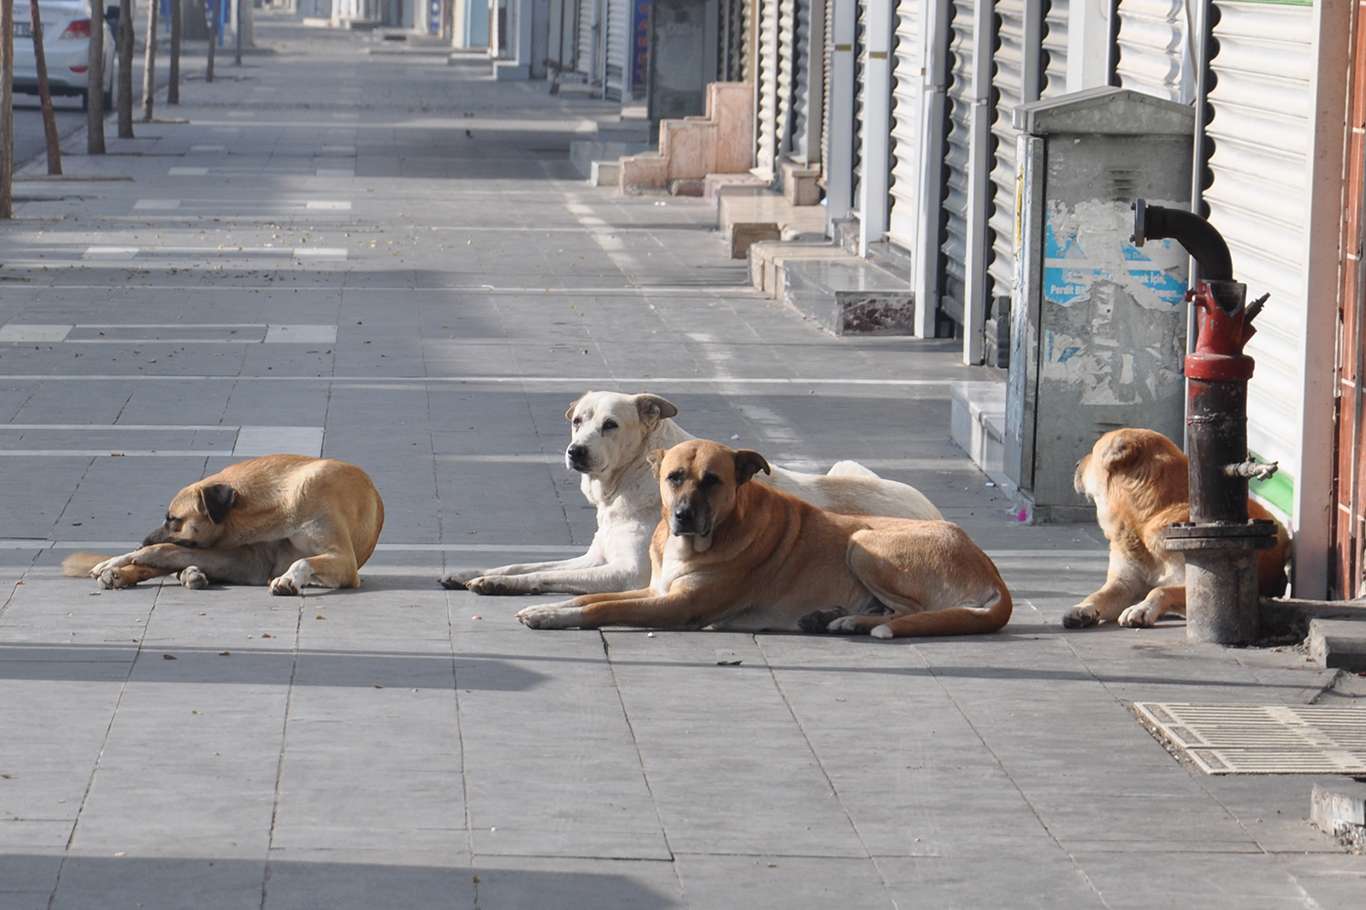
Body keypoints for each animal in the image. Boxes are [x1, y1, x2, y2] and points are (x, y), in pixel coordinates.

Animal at [62, 453, 385, 595]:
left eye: (173, 519)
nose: (143, 539)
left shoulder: (344, 562)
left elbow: (303, 560)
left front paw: (288, 579)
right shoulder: (249, 560)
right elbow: (161, 551)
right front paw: (117, 560)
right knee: (168, 560)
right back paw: (122, 573)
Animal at [442, 390, 945, 595]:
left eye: (611, 425)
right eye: (577, 421)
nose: (575, 451)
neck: (628, 483)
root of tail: (939, 515)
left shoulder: (627, 574)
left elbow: (542, 576)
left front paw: (497, 585)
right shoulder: (595, 556)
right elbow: (525, 563)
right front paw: (473, 572)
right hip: (846, 465)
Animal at [516, 439, 1010, 636]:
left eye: (712, 480)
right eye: (674, 477)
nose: (683, 516)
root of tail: (990, 567)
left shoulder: (676, 605)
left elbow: (599, 608)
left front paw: (550, 617)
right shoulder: (655, 589)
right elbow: (586, 598)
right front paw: (548, 607)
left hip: (863, 543)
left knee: (913, 612)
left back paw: (855, 622)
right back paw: (836, 617)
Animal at [1060, 423, 1284, 623]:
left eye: (1093, 451)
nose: (1076, 464)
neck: (1147, 519)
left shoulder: (1193, 582)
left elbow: (1160, 590)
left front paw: (1141, 608)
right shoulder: (1123, 585)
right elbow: (1098, 594)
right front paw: (1083, 607)